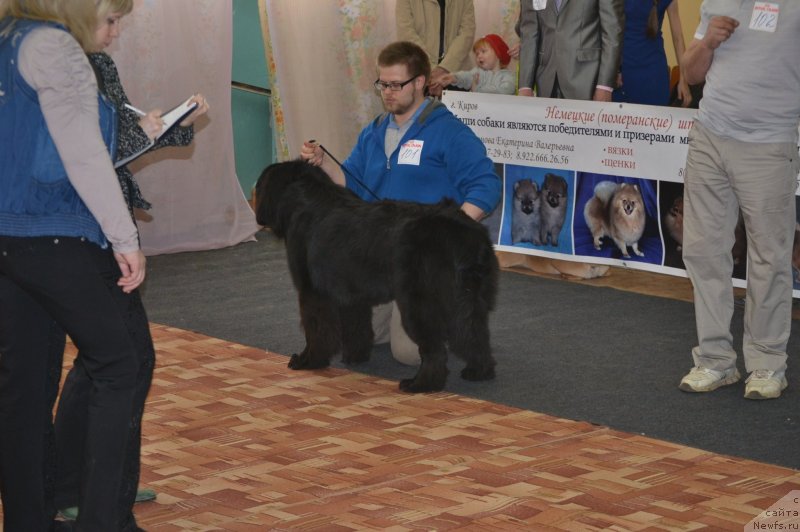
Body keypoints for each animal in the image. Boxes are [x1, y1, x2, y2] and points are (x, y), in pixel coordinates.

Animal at [253, 160, 496, 392]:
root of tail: (466, 233)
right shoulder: (351, 294)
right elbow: (357, 328)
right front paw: (355, 358)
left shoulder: (312, 292)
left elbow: (316, 332)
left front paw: (308, 361)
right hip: (468, 301)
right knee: (475, 335)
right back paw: (478, 371)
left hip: (419, 304)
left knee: (435, 350)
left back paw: (420, 385)